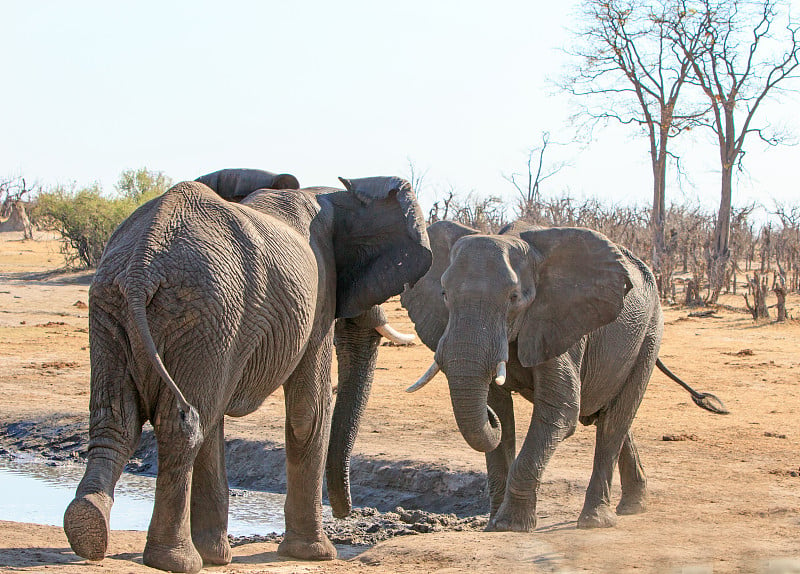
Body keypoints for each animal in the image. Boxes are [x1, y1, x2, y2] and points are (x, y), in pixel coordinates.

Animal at [64, 178, 432, 572]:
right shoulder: (318, 296)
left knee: (119, 419)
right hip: (204, 308)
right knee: (183, 426)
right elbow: (308, 413)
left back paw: (88, 530)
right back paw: (175, 561)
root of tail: (142, 265)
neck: (331, 194)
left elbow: (216, 419)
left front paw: (216, 556)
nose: (346, 513)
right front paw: (314, 554)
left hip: (120, 307)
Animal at [400, 222, 724, 536]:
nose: (488, 416)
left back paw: (596, 521)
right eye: (444, 295)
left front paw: (510, 526)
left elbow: (561, 409)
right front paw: (492, 524)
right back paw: (633, 507)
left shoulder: (562, 320)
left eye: (514, 298)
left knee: (615, 420)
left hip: (649, 334)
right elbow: (502, 412)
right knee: (611, 415)